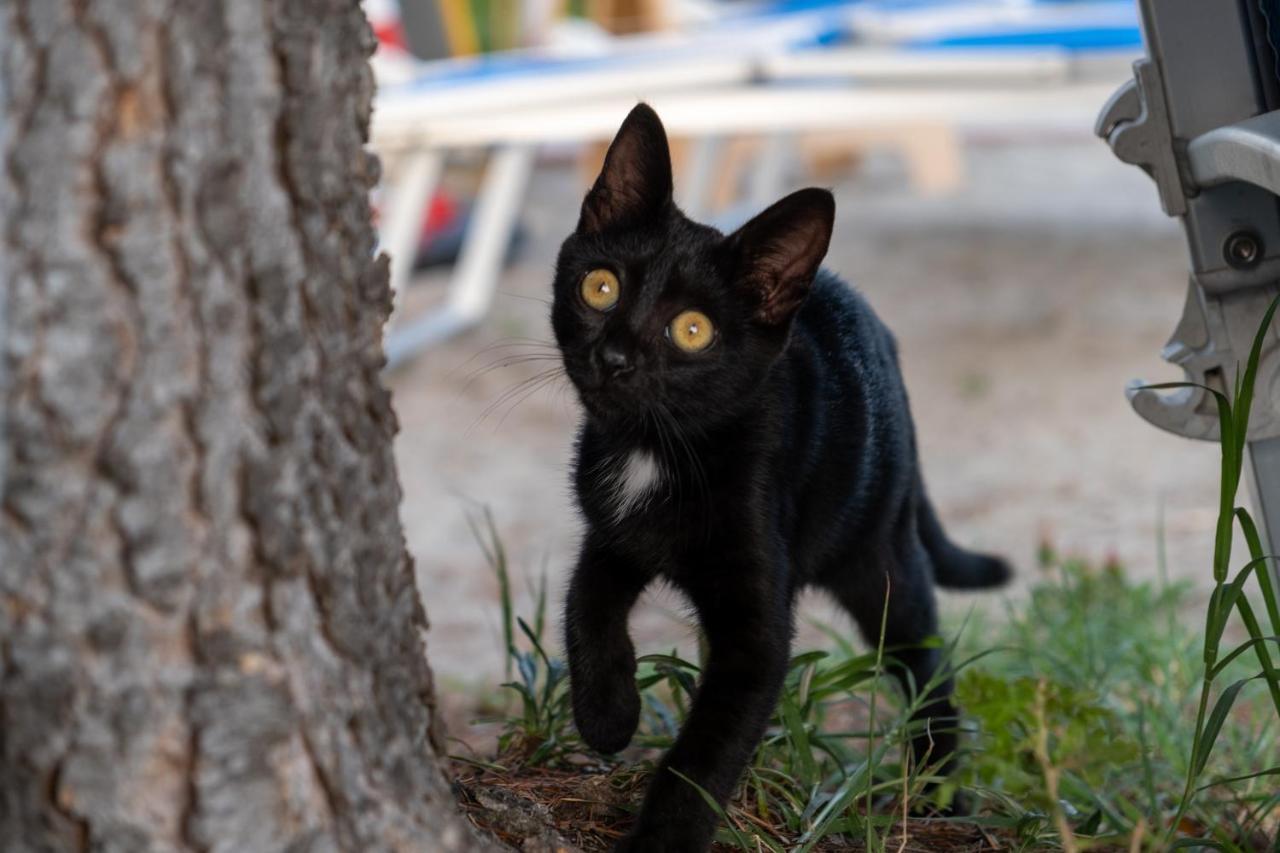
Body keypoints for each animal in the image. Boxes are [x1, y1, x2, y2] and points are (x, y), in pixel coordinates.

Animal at [550, 104, 1008, 850]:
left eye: (693, 330)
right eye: (601, 286)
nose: (613, 357)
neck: (658, 448)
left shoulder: (757, 631)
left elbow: (704, 752)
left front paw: (661, 838)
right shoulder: (612, 531)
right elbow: (583, 603)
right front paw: (607, 712)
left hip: (882, 555)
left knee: (927, 664)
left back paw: (940, 792)